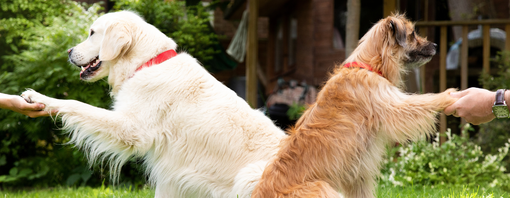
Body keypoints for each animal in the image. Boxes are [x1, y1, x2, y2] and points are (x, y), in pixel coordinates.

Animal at [21, 11, 284, 198]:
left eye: (92, 33)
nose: (69, 51)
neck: (147, 63)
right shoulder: (172, 175)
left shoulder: (131, 129)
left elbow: (76, 104)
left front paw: (41, 98)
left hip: (250, 175)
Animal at [253, 13, 456, 198]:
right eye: (412, 34)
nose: (436, 46)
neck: (369, 65)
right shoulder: (391, 106)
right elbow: (421, 102)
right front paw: (448, 96)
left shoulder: (357, 175)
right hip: (322, 188)